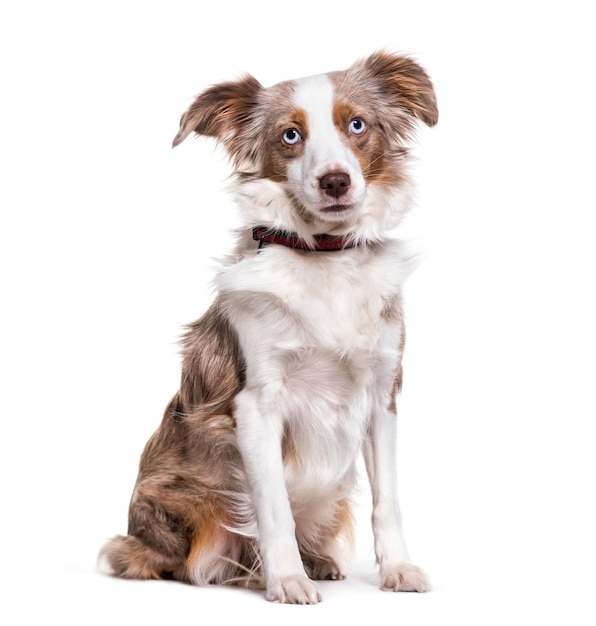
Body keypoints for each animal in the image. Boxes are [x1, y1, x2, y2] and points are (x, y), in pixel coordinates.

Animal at [101, 51, 438, 604]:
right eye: (290, 136)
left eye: (357, 125)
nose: (334, 181)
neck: (325, 257)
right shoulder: (255, 404)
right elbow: (273, 506)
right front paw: (286, 580)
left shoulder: (382, 396)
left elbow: (386, 500)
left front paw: (398, 569)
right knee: (179, 560)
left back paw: (316, 561)